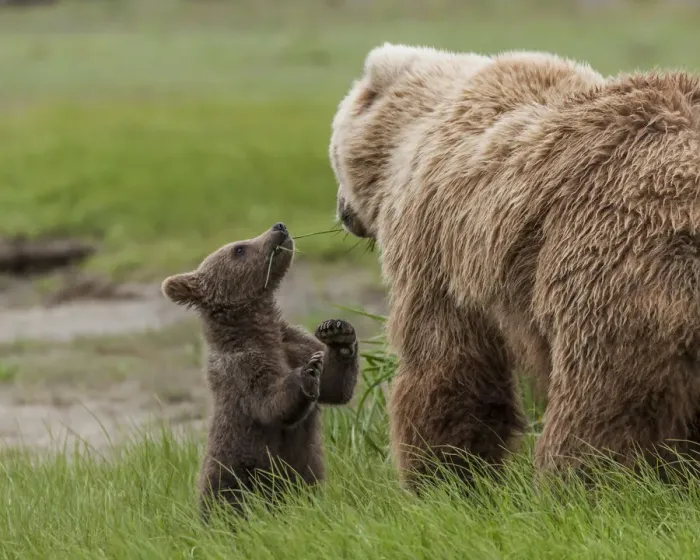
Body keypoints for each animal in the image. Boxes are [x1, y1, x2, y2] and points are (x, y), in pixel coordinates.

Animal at [161, 222, 360, 517]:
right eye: (239, 248)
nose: (279, 227)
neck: (260, 330)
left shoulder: (293, 342)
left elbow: (335, 387)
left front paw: (339, 333)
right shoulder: (242, 367)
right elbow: (270, 402)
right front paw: (307, 372)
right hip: (234, 475)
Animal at [329, 42, 700, 489]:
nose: (342, 211)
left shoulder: (435, 242)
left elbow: (445, 359)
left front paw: (442, 475)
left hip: (613, 257)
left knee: (603, 397)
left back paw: (581, 481)